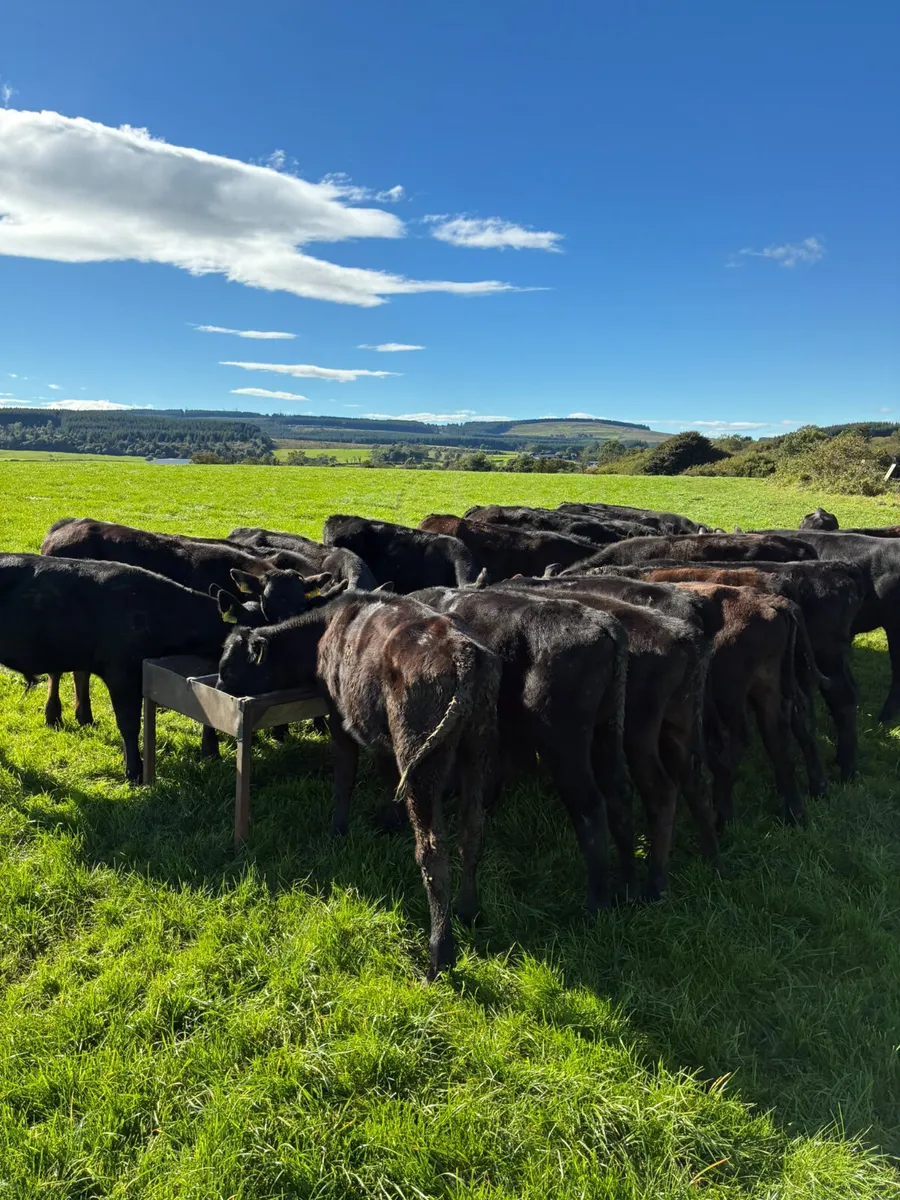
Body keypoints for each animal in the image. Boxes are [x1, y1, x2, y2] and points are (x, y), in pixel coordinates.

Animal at [217, 592, 501, 979]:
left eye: (230, 669)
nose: (218, 691)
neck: (326, 626)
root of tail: (463, 653)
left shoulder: (340, 716)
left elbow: (344, 777)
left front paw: (337, 829)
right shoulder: (379, 733)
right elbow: (385, 773)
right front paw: (388, 820)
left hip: (421, 758)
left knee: (432, 851)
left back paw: (439, 952)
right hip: (477, 752)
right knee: (472, 833)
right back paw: (468, 910)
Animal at [410, 585, 631, 907]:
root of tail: (603, 623)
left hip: (565, 744)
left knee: (589, 806)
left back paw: (597, 902)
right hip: (608, 728)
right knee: (618, 793)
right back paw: (631, 884)